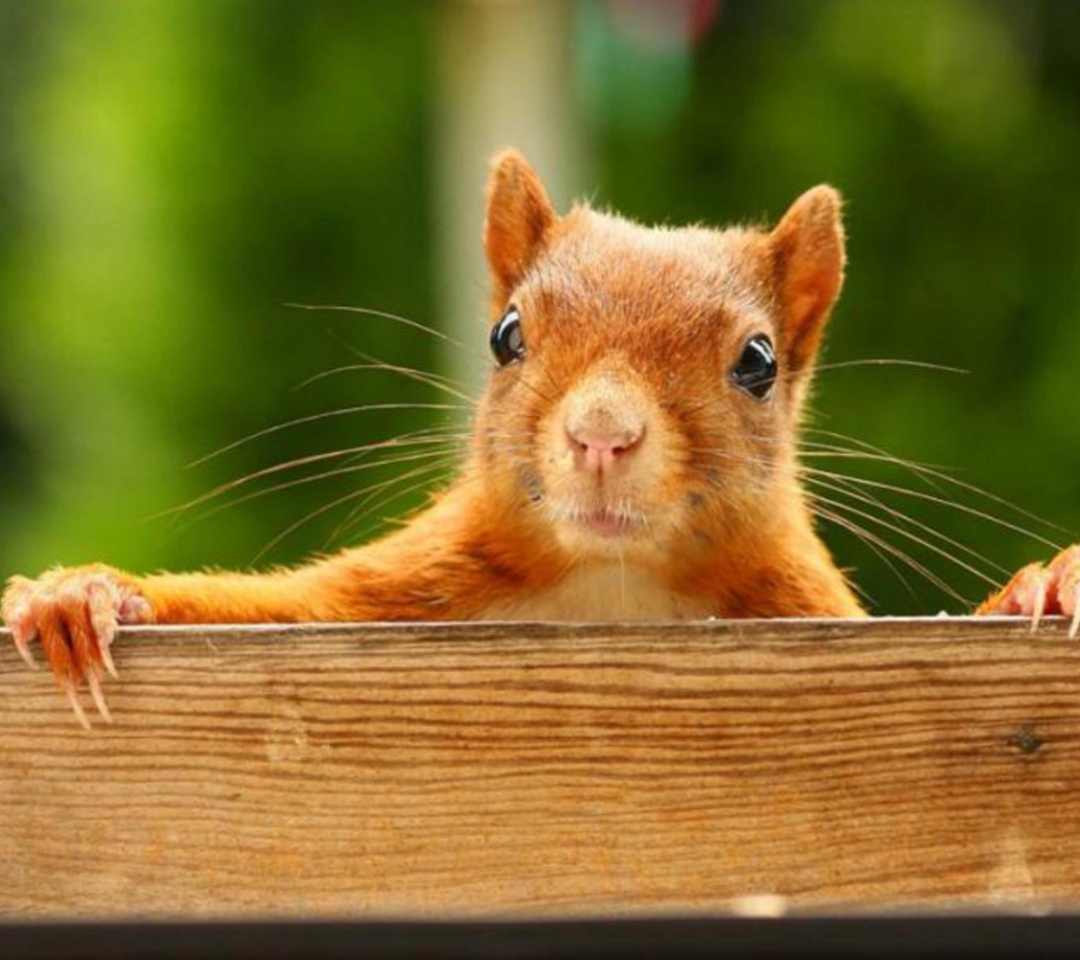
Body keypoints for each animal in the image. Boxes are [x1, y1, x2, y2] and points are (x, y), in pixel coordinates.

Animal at [6, 147, 1080, 725]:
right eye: (506, 334)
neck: (614, 588)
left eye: (759, 361)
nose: (601, 434)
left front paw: (1047, 581)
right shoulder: (407, 589)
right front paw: (80, 594)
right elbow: (265, 609)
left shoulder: (802, 604)